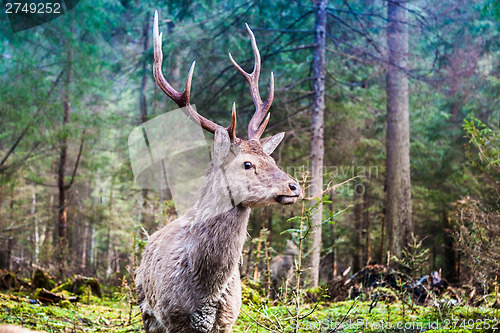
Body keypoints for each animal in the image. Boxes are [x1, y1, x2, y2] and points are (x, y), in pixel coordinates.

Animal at [134, 11, 300, 332]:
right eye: (247, 163)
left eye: (271, 159)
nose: (294, 186)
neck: (206, 293)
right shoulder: (173, 319)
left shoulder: (227, 320)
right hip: (146, 310)